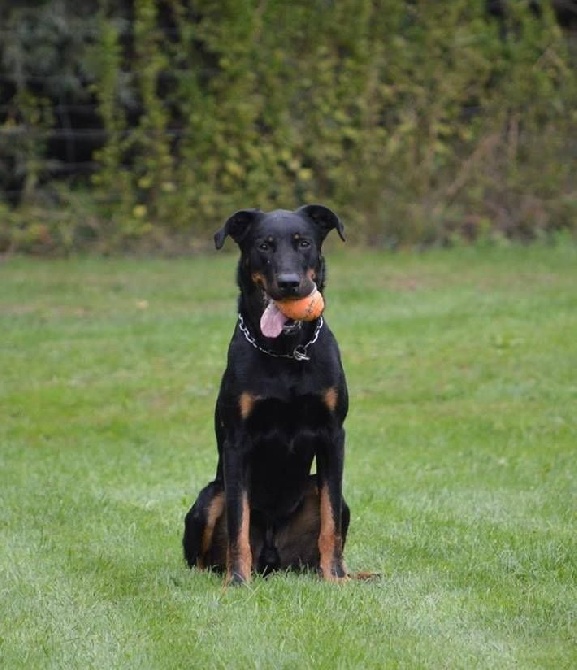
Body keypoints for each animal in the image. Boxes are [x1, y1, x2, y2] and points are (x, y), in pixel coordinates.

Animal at [182, 206, 348, 588]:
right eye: (264, 245)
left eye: (303, 243)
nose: (288, 283)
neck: (285, 352)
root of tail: (273, 561)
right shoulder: (237, 442)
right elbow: (238, 524)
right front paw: (238, 582)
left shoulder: (333, 435)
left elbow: (330, 523)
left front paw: (334, 577)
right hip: (210, 496)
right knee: (200, 559)